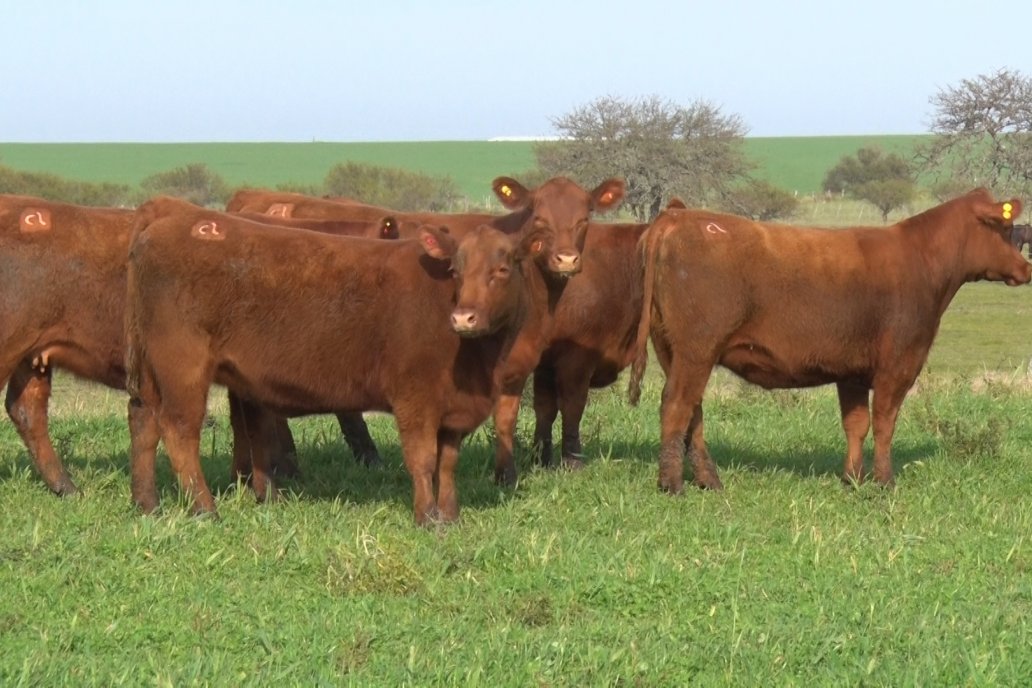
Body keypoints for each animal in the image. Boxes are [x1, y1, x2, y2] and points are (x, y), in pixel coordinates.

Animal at [126, 195, 565, 523]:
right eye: (456, 270)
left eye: (503, 269)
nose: (464, 317)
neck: (478, 363)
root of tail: (158, 226)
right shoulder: (416, 398)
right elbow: (422, 460)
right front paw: (427, 517)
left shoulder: (453, 409)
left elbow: (448, 463)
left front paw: (450, 515)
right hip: (182, 366)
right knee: (180, 430)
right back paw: (205, 509)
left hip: (151, 372)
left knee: (146, 422)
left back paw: (148, 504)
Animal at [623, 185, 1027, 493]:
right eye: (1004, 228)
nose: (1026, 268)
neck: (921, 261)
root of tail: (677, 217)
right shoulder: (898, 365)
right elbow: (884, 422)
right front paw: (885, 481)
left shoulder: (852, 371)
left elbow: (856, 423)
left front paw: (854, 479)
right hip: (697, 349)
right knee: (677, 405)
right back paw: (672, 484)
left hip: (673, 350)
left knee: (693, 411)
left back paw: (709, 480)